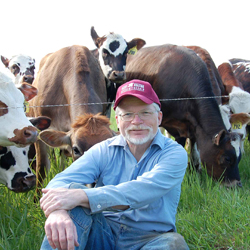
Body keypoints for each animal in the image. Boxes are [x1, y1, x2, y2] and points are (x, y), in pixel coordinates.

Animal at [126, 44, 243, 187]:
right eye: (227, 158)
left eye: (239, 157)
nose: (237, 184)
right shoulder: (173, 124)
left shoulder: (194, 125)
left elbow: (194, 147)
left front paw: (194, 169)